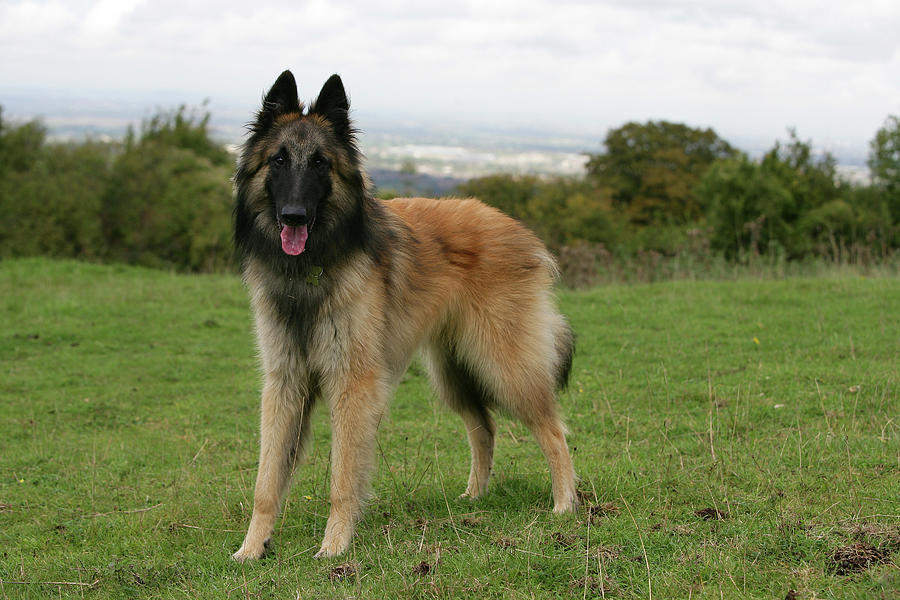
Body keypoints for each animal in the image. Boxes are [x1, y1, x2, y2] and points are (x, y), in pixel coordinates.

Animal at [232, 71, 576, 564]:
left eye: (319, 163)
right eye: (278, 160)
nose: (293, 215)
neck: (314, 268)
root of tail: (521, 232)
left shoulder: (353, 384)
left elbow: (341, 478)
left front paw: (334, 546)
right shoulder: (285, 383)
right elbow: (267, 481)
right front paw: (252, 547)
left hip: (504, 366)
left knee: (553, 430)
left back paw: (565, 503)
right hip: (452, 372)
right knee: (484, 427)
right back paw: (475, 496)